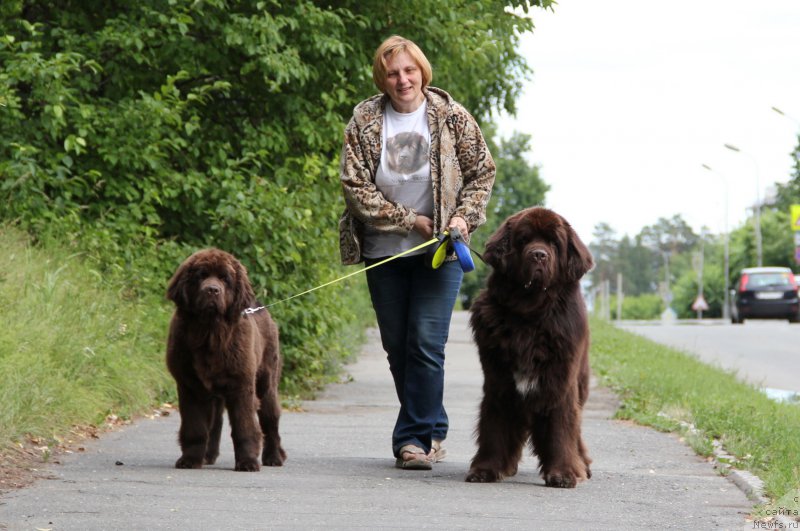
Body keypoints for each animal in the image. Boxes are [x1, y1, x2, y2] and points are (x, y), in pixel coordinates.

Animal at [164, 247, 286, 472]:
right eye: (201, 276)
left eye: (225, 279)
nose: (212, 290)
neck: (210, 333)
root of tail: (259, 305)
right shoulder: (190, 386)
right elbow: (195, 426)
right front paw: (190, 459)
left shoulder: (242, 385)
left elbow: (244, 426)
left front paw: (247, 462)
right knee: (215, 423)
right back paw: (207, 456)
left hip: (266, 383)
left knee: (270, 422)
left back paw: (274, 457)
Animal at [462, 208, 592, 490]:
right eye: (524, 240)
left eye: (554, 243)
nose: (539, 254)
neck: (529, 315)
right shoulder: (499, 382)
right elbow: (494, 428)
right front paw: (486, 469)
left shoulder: (560, 383)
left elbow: (562, 429)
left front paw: (563, 474)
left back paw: (582, 466)